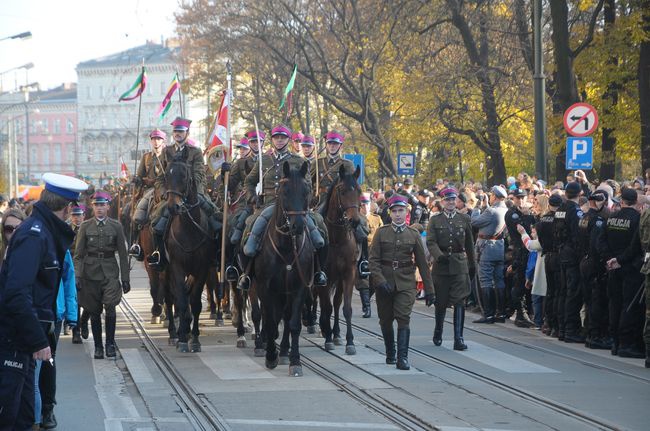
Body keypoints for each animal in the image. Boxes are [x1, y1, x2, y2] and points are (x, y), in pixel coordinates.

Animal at [163, 157, 216, 352]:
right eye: (166, 175)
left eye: (184, 175)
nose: (173, 207)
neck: (189, 229)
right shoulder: (177, 267)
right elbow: (181, 301)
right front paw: (183, 339)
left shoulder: (202, 270)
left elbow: (195, 302)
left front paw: (194, 338)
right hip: (164, 269)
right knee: (169, 297)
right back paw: (174, 333)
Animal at [248, 162, 312, 378]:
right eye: (284, 192)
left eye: (307, 191)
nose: (298, 226)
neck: (286, 247)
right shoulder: (264, 287)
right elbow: (268, 320)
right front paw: (270, 356)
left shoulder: (299, 287)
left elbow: (293, 324)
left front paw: (295, 361)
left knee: (284, 316)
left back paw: (284, 351)